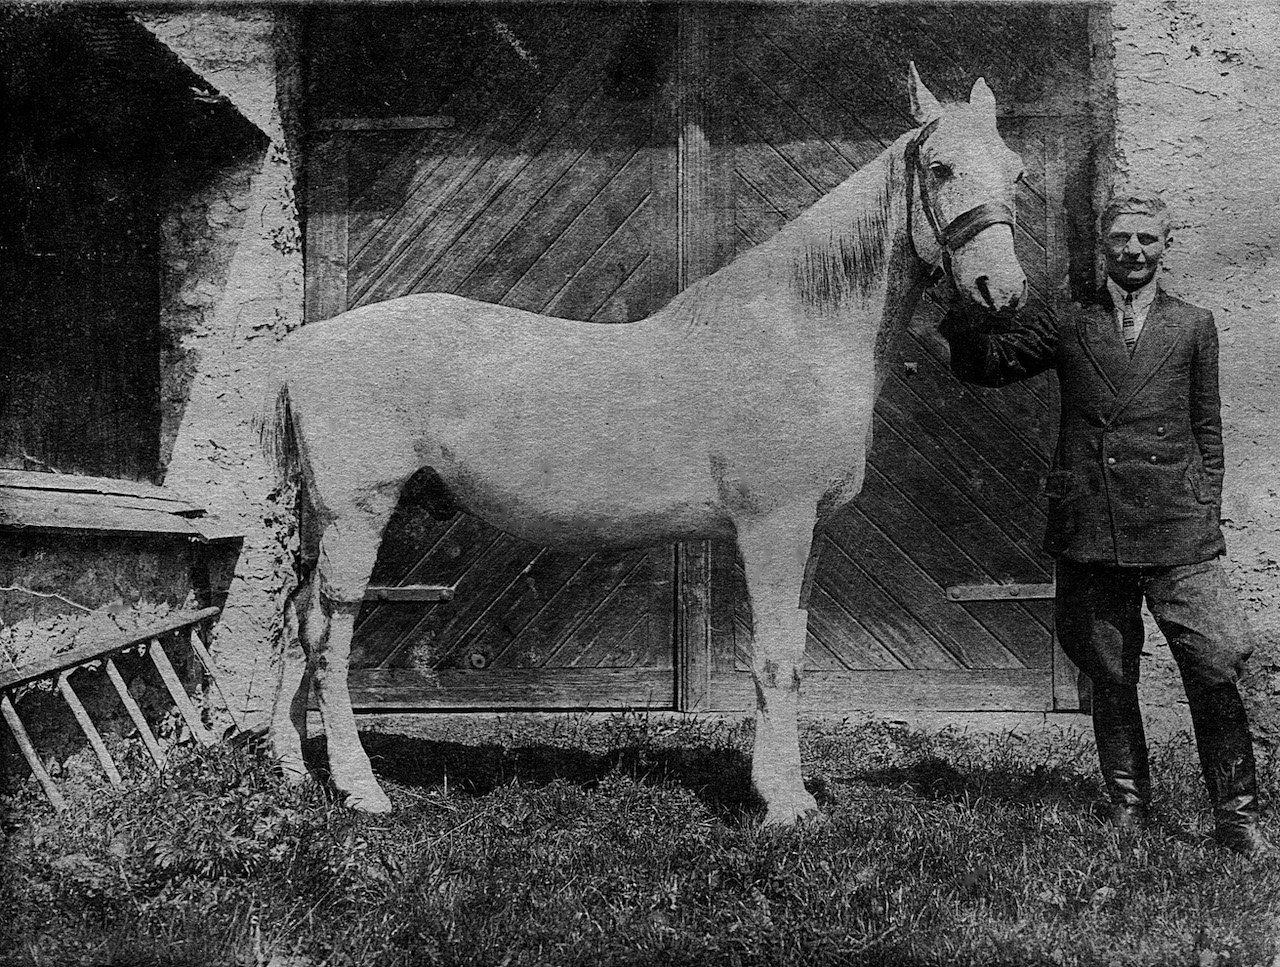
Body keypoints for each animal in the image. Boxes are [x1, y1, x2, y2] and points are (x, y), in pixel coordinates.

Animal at [262, 66, 1029, 824]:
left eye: (1016, 170)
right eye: (940, 166)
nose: (1003, 290)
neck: (794, 337)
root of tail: (302, 344)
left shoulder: (809, 532)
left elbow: (792, 655)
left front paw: (782, 789)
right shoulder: (773, 527)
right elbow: (772, 659)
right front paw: (784, 805)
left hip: (324, 522)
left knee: (297, 622)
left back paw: (292, 773)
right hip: (358, 514)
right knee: (329, 639)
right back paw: (361, 789)